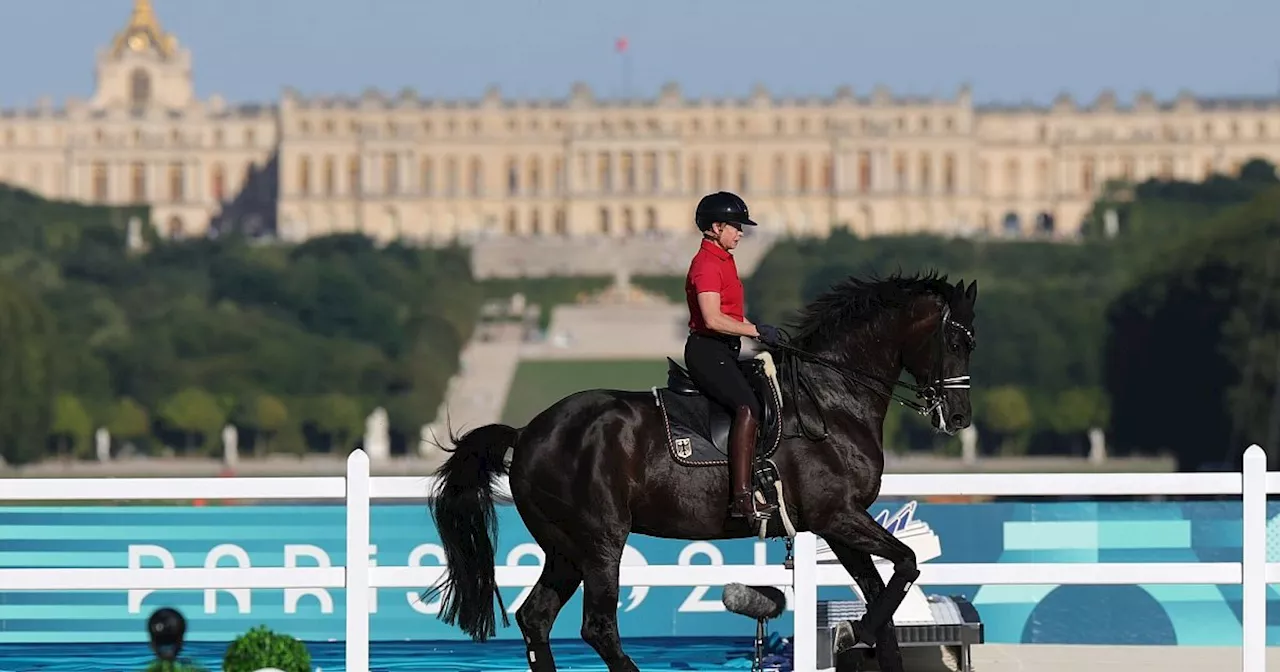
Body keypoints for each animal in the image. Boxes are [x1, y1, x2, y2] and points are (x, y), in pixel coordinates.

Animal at [430, 271, 977, 670]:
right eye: (956, 341)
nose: (959, 418)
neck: (830, 400)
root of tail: (528, 432)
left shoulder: (837, 524)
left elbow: (887, 590)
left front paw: (861, 636)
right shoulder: (838, 515)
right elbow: (905, 566)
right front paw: (852, 634)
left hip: (565, 548)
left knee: (536, 618)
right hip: (600, 541)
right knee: (597, 627)